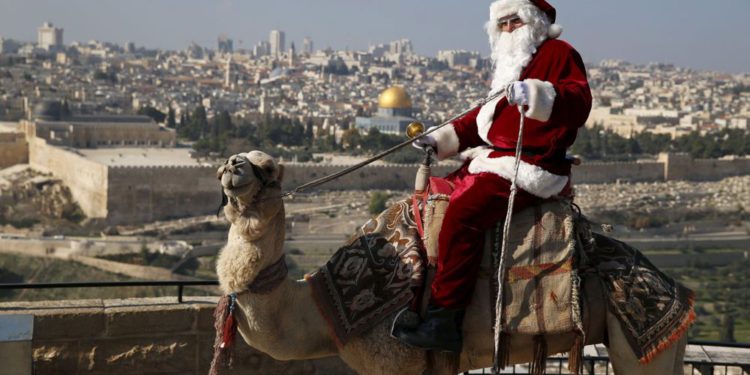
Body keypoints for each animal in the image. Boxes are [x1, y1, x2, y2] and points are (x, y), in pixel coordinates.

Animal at [214, 151, 692, 374]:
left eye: (270, 169)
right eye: (230, 162)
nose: (233, 165)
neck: (326, 311)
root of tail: (678, 293)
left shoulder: (397, 363)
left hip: (635, 342)